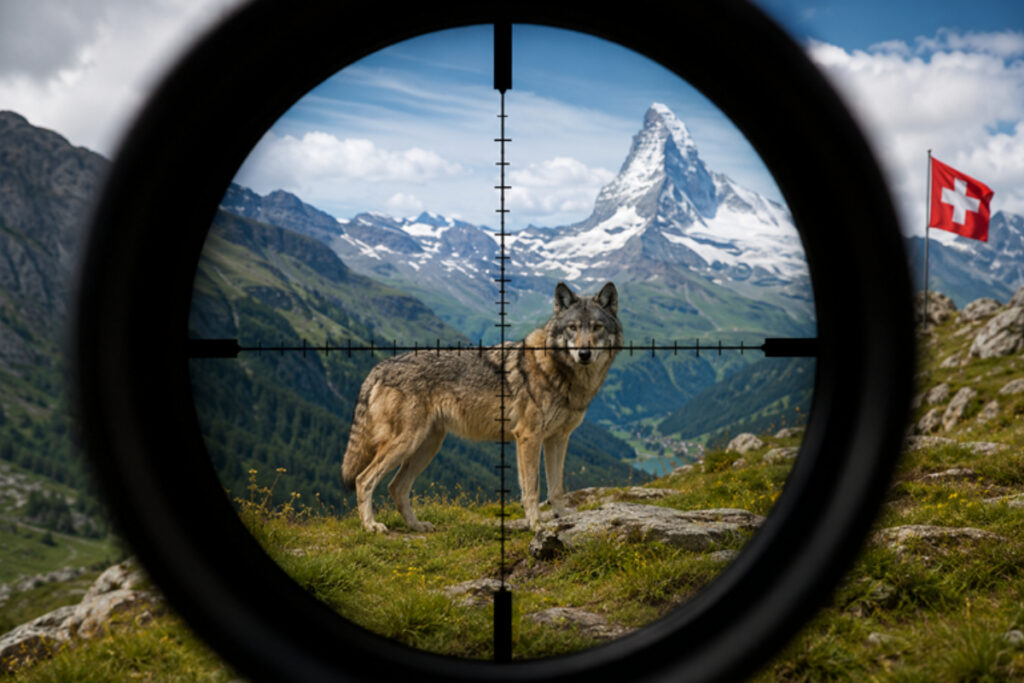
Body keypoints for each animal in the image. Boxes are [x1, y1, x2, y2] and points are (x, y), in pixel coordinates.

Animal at [341, 281, 622, 533]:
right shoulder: (528, 437)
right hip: (407, 443)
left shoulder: (558, 439)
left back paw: (416, 526)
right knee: (363, 480)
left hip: (427, 447)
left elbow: (556, 488)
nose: (584, 353)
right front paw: (536, 525)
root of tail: (379, 367)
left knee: (396, 487)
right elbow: (532, 488)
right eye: (573, 328)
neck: (560, 371)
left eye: (597, 327)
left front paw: (564, 519)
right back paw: (371, 526)